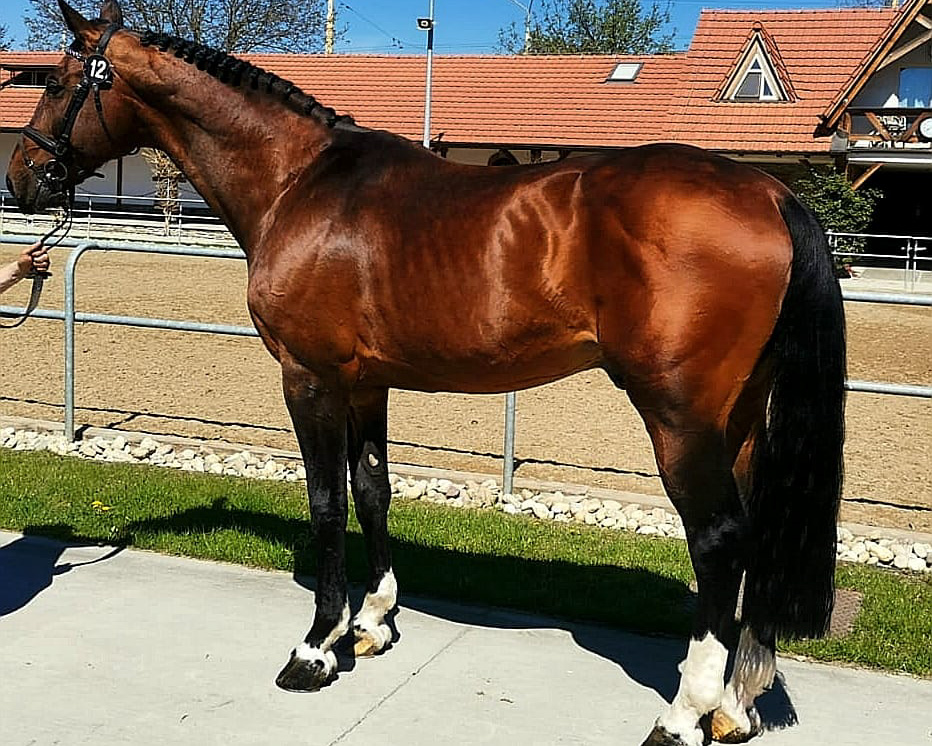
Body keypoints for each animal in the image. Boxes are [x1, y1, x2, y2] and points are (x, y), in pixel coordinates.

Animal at [5, 2, 846, 744]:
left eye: (59, 81)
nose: (23, 176)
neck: (298, 182)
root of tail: (770, 191)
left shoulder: (309, 378)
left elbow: (325, 502)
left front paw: (316, 647)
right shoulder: (365, 382)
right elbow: (372, 489)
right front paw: (371, 624)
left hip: (678, 417)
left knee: (719, 540)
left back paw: (684, 715)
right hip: (740, 418)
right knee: (752, 532)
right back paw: (734, 705)